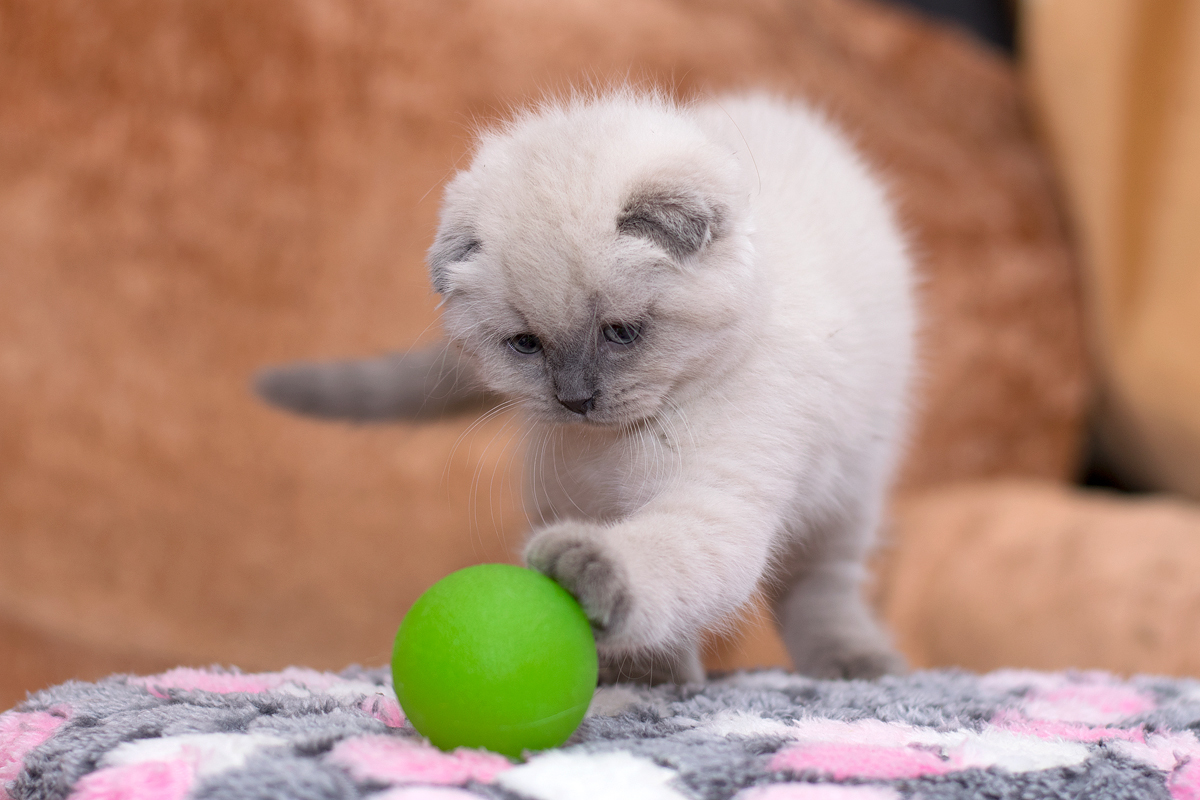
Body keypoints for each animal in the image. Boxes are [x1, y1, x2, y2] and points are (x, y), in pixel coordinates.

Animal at [258, 90, 912, 686]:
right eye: (526, 344)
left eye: (620, 333)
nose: (575, 399)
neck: (614, 450)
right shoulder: (568, 497)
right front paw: (644, 673)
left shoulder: (714, 495)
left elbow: (658, 554)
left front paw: (587, 578)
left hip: (848, 492)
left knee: (821, 585)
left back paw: (856, 663)